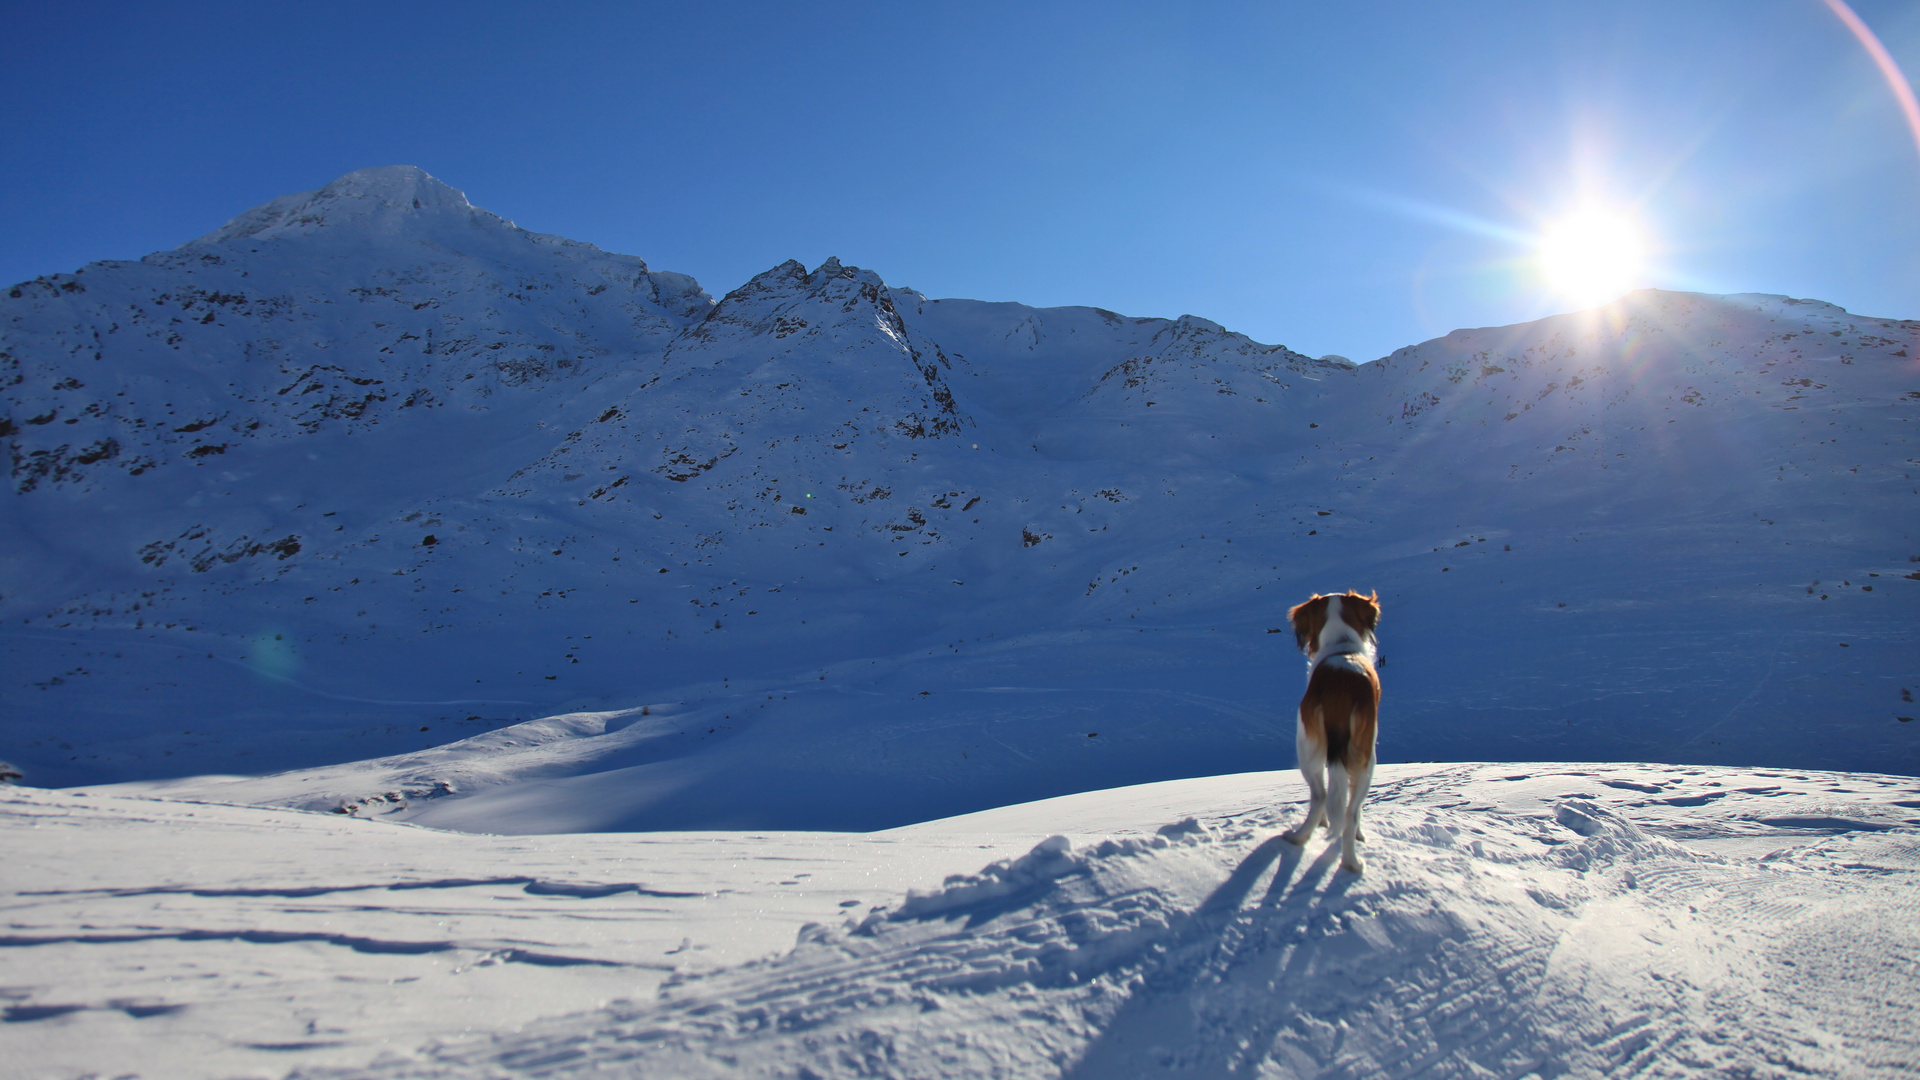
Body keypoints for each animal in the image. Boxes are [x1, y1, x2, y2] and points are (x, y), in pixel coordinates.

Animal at [1290, 588, 1382, 876]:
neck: (1342, 644)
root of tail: (1342, 687)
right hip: (1366, 759)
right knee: (1350, 811)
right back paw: (1351, 861)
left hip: (1306, 747)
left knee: (1321, 796)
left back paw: (1301, 839)